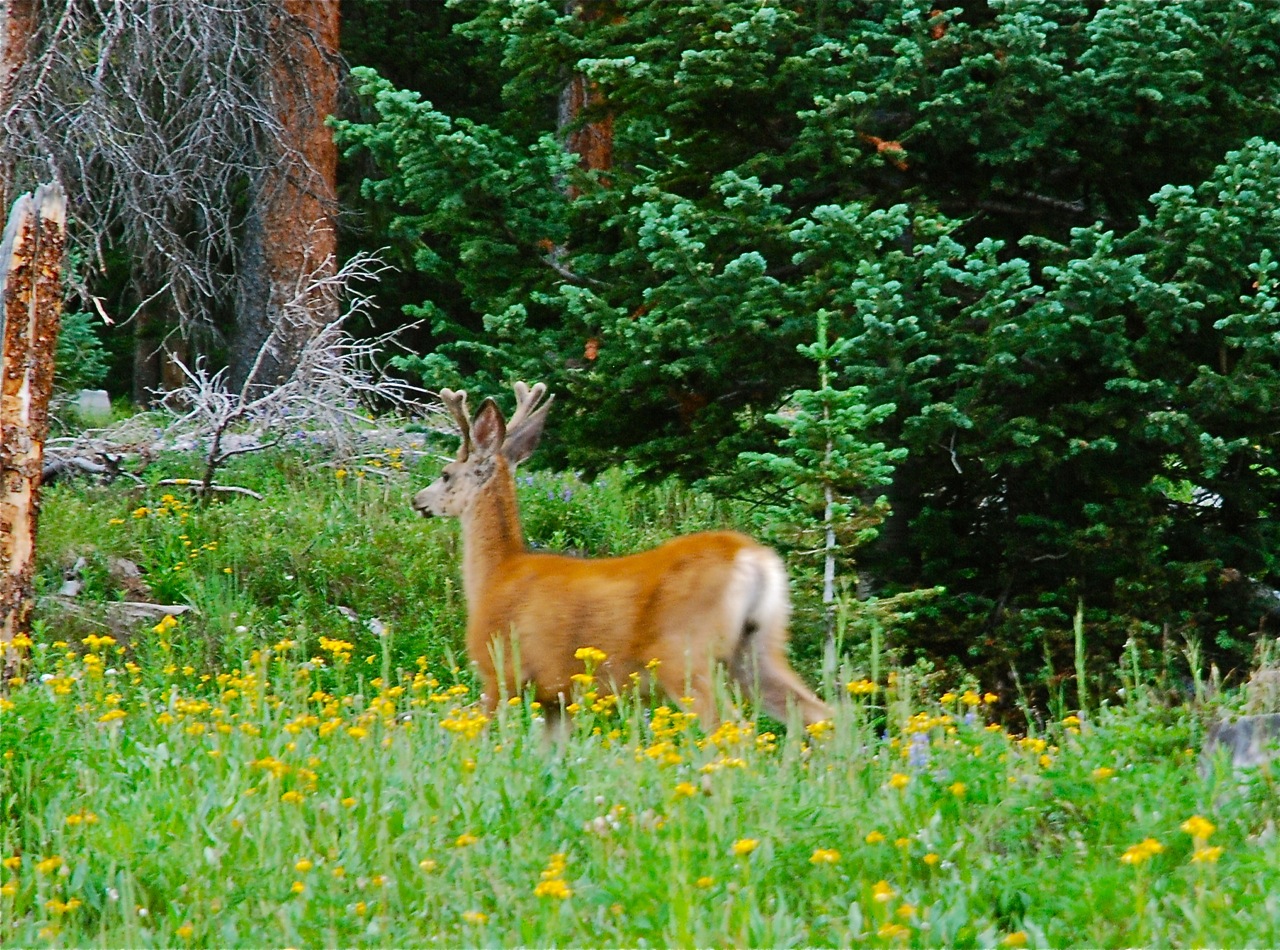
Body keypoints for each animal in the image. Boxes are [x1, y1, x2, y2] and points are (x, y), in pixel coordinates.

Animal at [412, 381, 833, 728]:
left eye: (446, 474)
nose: (417, 500)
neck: (497, 573)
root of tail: (752, 557)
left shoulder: (500, 671)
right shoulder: (558, 697)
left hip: (685, 655)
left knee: (733, 728)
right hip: (759, 647)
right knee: (821, 714)